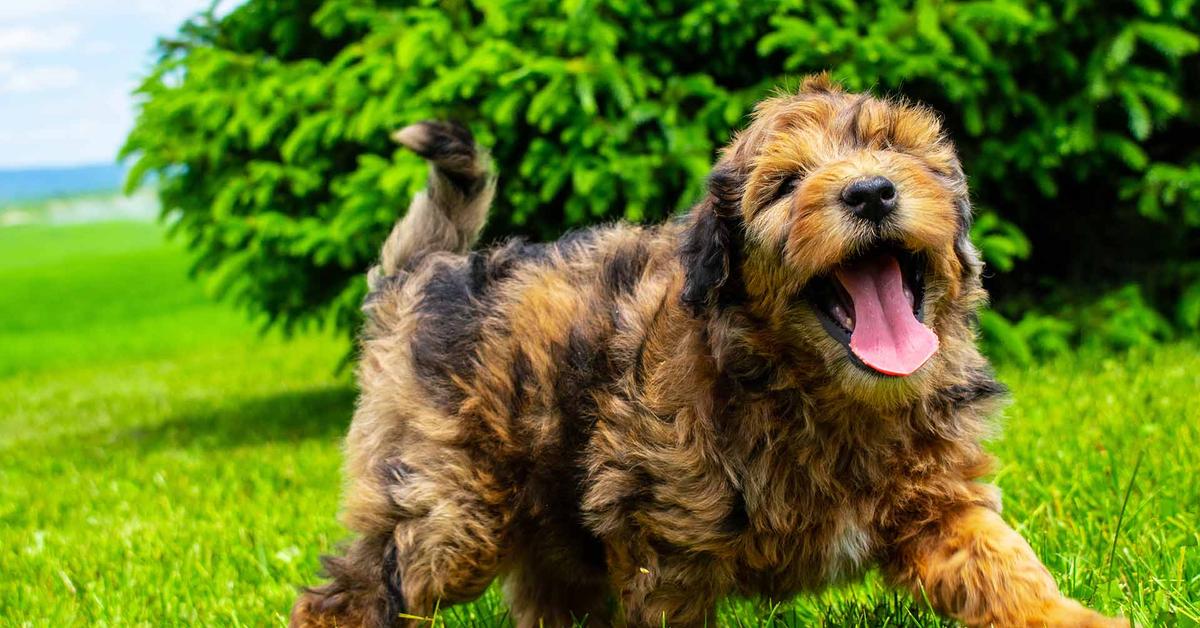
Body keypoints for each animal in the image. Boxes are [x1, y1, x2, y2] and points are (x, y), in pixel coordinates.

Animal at [290, 76, 1123, 624]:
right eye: (785, 185)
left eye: (898, 153)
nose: (872, 192)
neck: (832, 395)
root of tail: (424, 275)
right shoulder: (667, 546)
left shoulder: (941, 501)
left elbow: (1003, 567)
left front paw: (1073, 618)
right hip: (451, 505)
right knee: (354, 590)